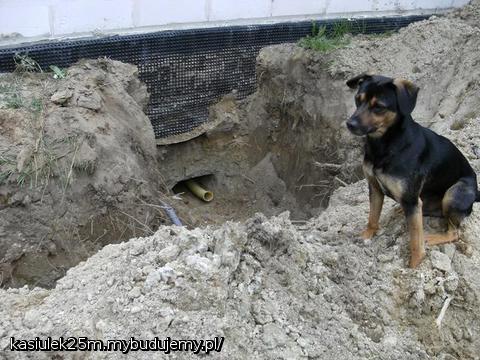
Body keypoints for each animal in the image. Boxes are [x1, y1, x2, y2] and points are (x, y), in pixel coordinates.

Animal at [346, 73, 478, 268]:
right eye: (357, 99)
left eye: (379, 107)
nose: (349, 124)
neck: (385, 144)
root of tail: (477, 193)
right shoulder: (375, 189)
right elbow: (372, 217)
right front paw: (366, 235)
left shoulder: (410, 200)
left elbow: (415, 240)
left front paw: (415, 265)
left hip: (454, 193)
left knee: (454, 233)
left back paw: (432, 237)